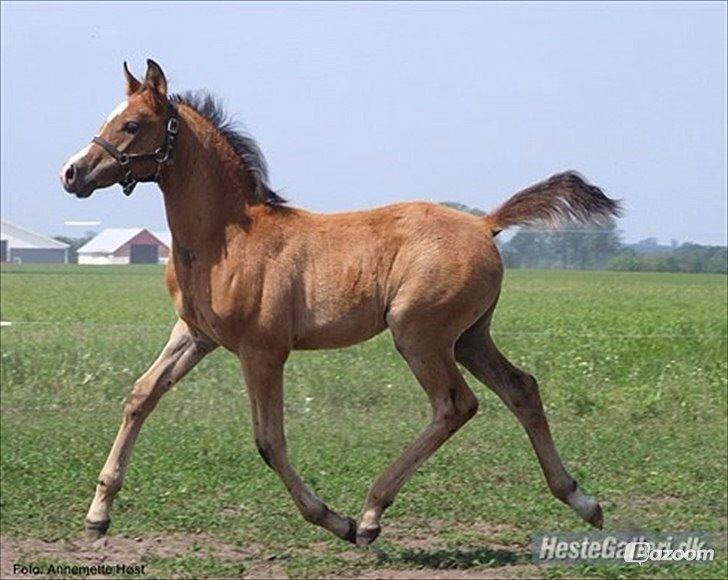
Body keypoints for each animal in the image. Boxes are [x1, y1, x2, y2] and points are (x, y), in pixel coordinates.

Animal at [61, 61, 620, 548]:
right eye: (109, 118)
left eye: (132, 124)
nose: (72, 173)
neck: (225, 237)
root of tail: (486, 224)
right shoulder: (195, 334)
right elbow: (140, 396)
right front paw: (97, 515)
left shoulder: (262, 351)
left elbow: (269, 440)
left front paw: (334, 519)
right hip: (469, 336)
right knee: (521, 389)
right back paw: (582, 501)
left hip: (420, 333)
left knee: (455, 405)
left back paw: (370, 515)